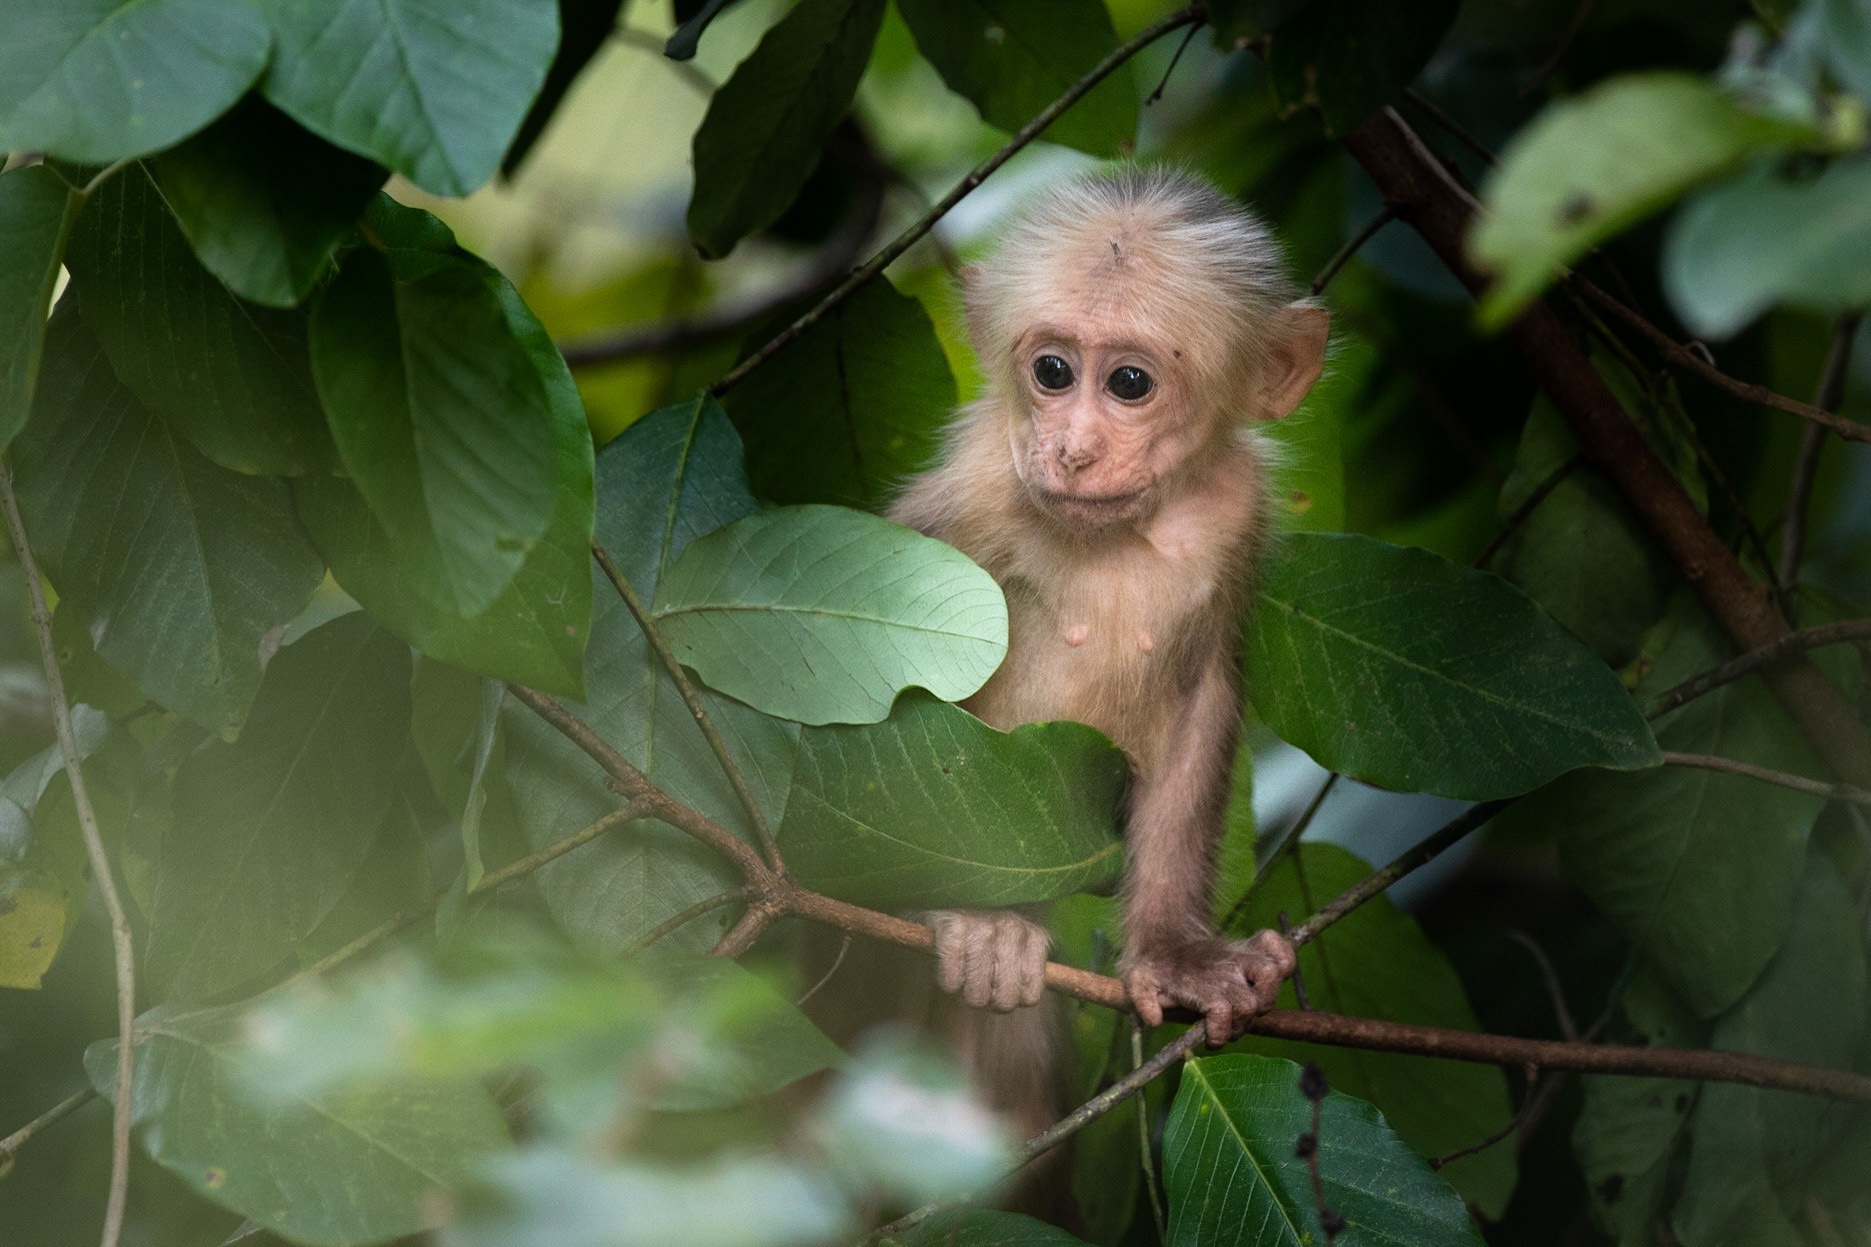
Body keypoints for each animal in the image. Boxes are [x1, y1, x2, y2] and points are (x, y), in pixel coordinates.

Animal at [802, 168, 1327, 1161]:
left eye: (1128, 382)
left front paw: (1175, 955)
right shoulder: (967, 500)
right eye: (1051, 372)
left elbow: (1202, 698)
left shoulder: (1236, 505)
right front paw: (964, 922)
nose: (1073, 449)